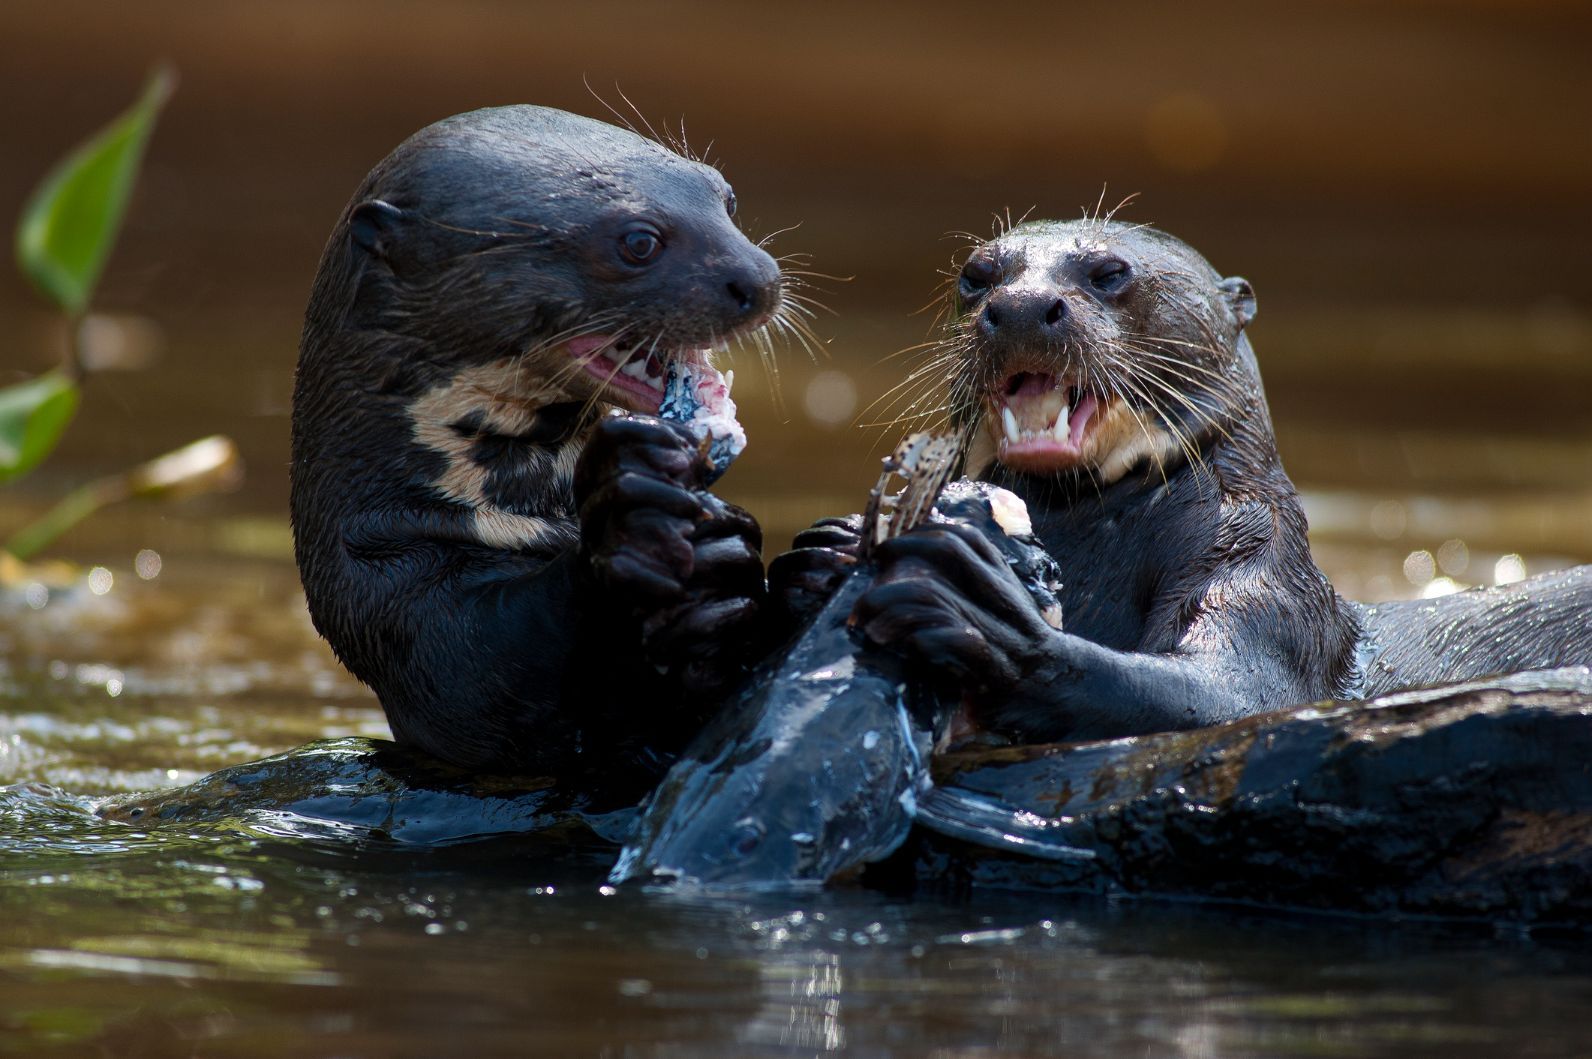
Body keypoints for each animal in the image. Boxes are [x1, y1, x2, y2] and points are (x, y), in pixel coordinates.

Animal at [292, 107, 783, 777]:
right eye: (639, 242)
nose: (761, 280)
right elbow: (505, 679)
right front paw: (635, 519)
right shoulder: (408, 623)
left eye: (727, 198)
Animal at [773, 218, 1592, 738]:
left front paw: (982, 611)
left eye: (1110, 273)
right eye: (976, 277)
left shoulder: (1264, 566)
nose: (1020, 305)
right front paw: (824, 550)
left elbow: (1234, 694)